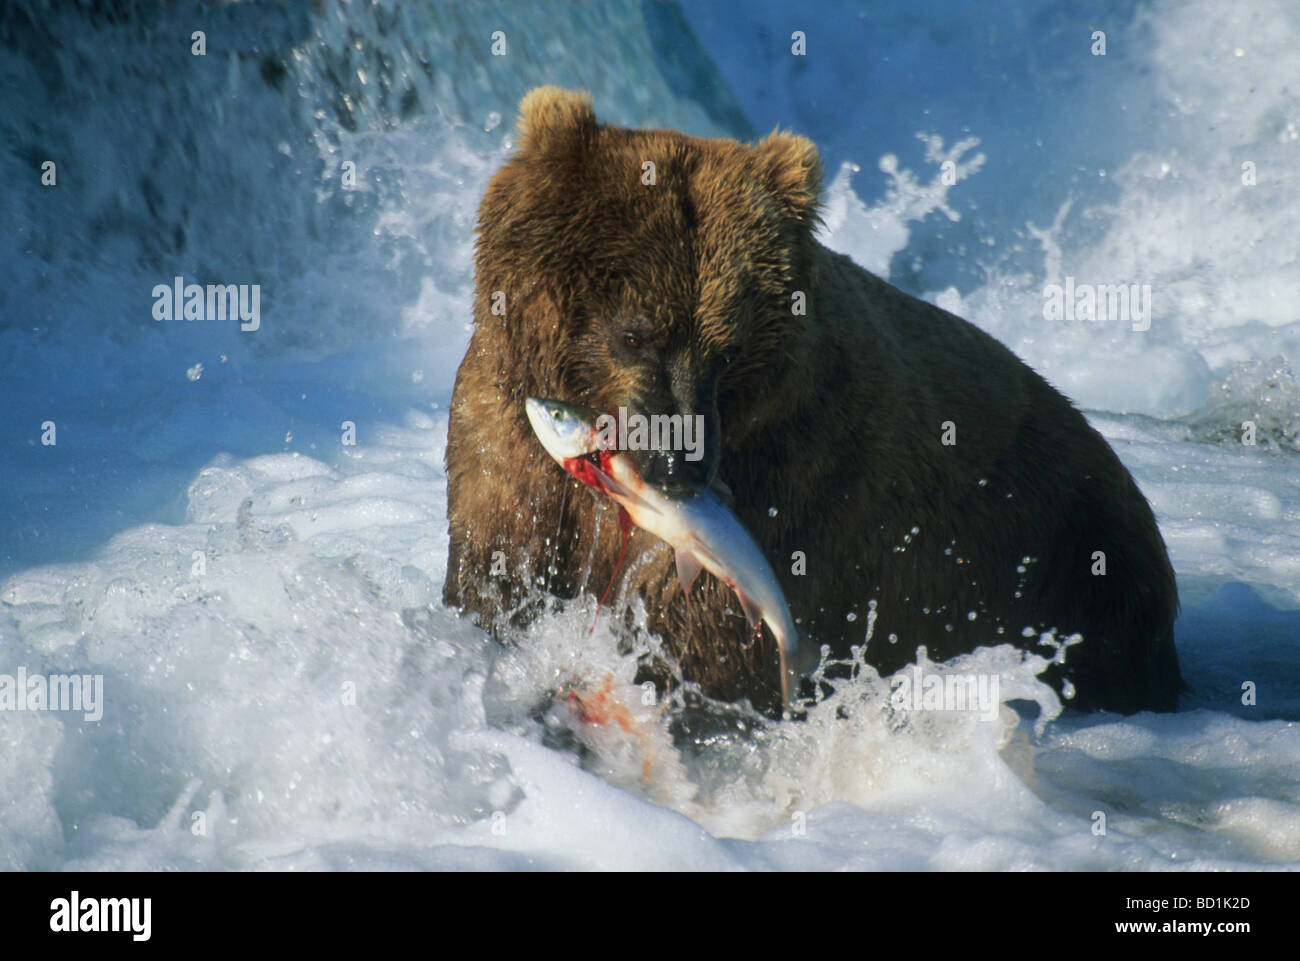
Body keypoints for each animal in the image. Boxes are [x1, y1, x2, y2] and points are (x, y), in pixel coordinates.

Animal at [443, 86, 1181, 718]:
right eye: (635, 333)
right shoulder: (503, 444)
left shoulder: (794, 486)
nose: (680, 465)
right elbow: (494, 573)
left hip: (1074, 563)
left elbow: (696, 639)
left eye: (729, 348)